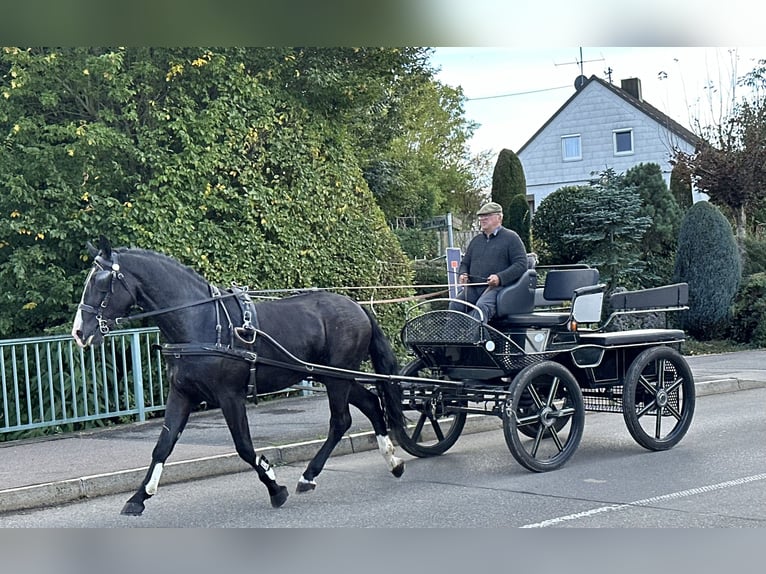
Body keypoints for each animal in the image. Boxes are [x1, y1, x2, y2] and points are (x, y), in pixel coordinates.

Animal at [72, 237, 408, 516]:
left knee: (341, 421)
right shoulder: (181, 394)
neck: (200, 322)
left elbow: (244, 447)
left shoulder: (230, 396)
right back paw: (393, 461)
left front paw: (274, 486)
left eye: (101, 282)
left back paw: (308, 476)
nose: (79, 332)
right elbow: (163, 446)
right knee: (371, 403)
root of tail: (358, 307)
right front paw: (139, 498)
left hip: (337, 378)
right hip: (333, 377)